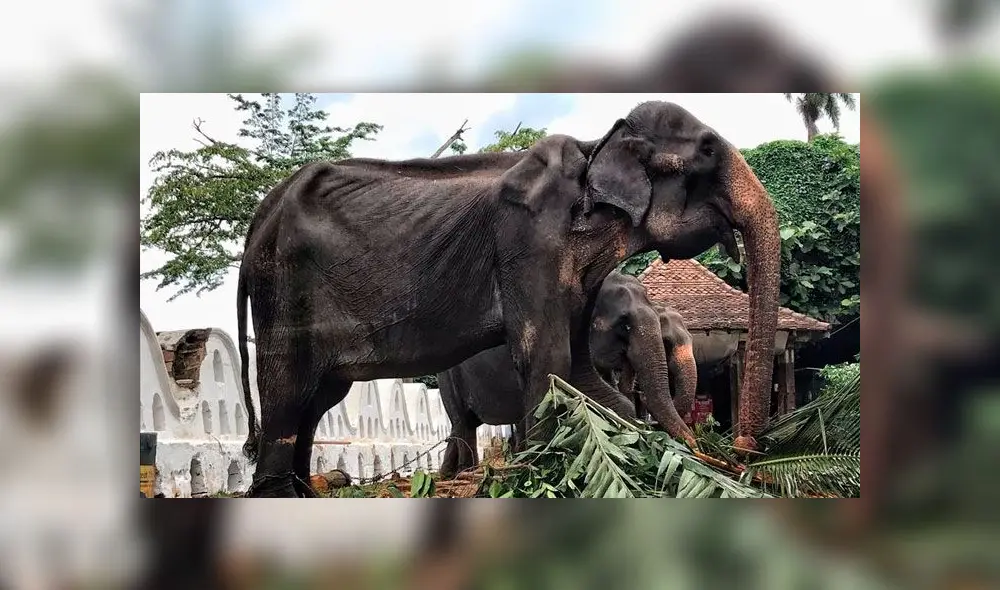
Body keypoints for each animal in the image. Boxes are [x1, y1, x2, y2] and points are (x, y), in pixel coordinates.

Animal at [437, 271, 699, 479]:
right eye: (624, 325)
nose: (698, 449)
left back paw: (449, 474)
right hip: (447, 377)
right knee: (463, 423)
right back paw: (467, 474)